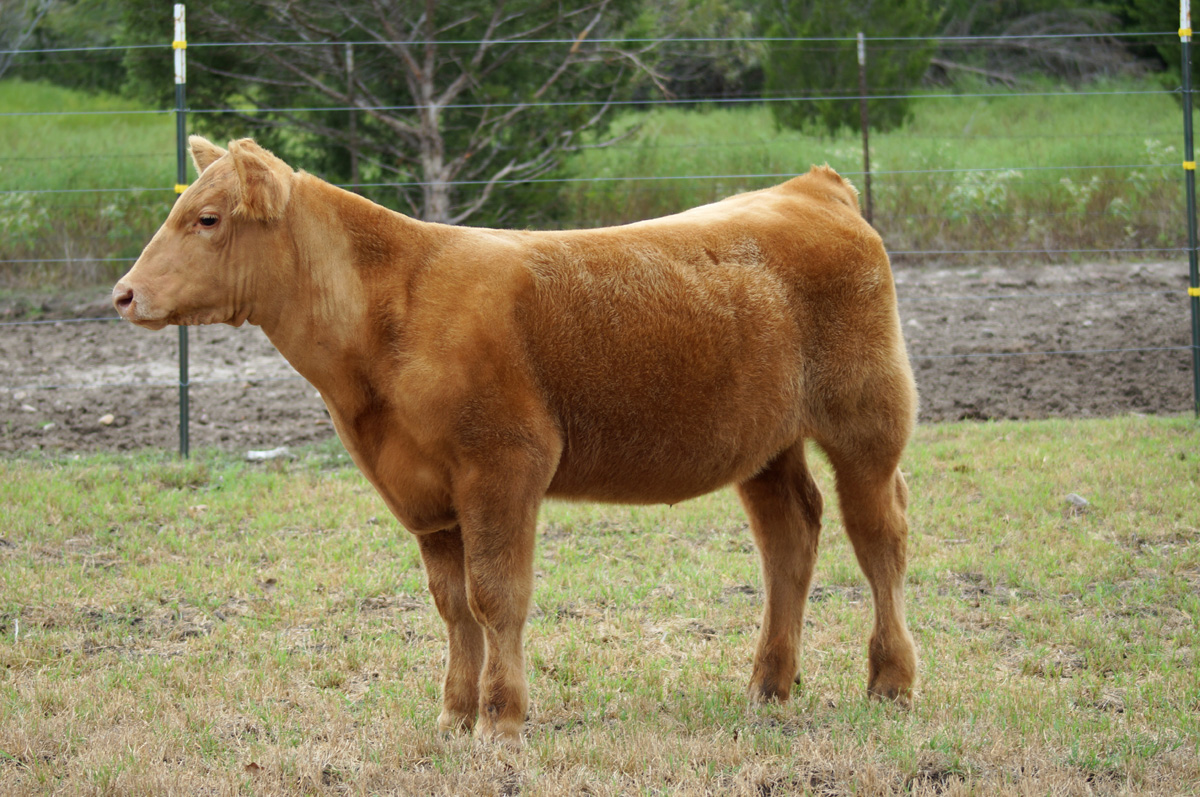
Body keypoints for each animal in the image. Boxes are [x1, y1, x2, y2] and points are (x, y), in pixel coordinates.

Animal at [113, 136, 919, 745]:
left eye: (207, 218)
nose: (123, 294)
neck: (392, 311)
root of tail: (811, 187)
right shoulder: (425, 495)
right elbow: (452, 605)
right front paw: (453, 714)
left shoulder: (502, 468)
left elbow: (496, 595)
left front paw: (501, 720)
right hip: (765, 445)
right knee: (791, 539)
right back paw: (768, 686)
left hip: (868, 423)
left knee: (878, 539)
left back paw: (891, 681)